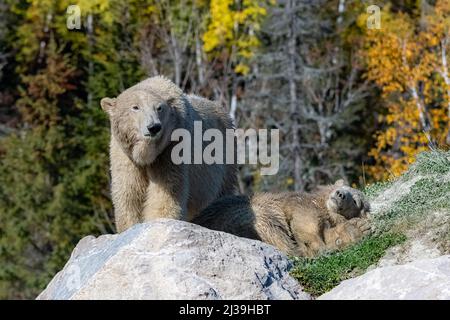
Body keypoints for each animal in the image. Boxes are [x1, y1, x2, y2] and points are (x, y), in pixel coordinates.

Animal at [100, 75, 237, 231]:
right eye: (135, 107)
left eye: (159, 108)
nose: (154, 127)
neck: (147, 153)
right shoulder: (125, 155)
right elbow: (129, 192)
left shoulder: (171, 148)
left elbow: (166, 192)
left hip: (224, 162)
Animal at [194, 180, 372, 258]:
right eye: (340, 187)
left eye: (355, 201)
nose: (340, 194)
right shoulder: (300, 204)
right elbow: (306, 226)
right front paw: (322, 247)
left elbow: (325, 231)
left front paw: (357, 229)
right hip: (245, 214)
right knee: (273, 230)